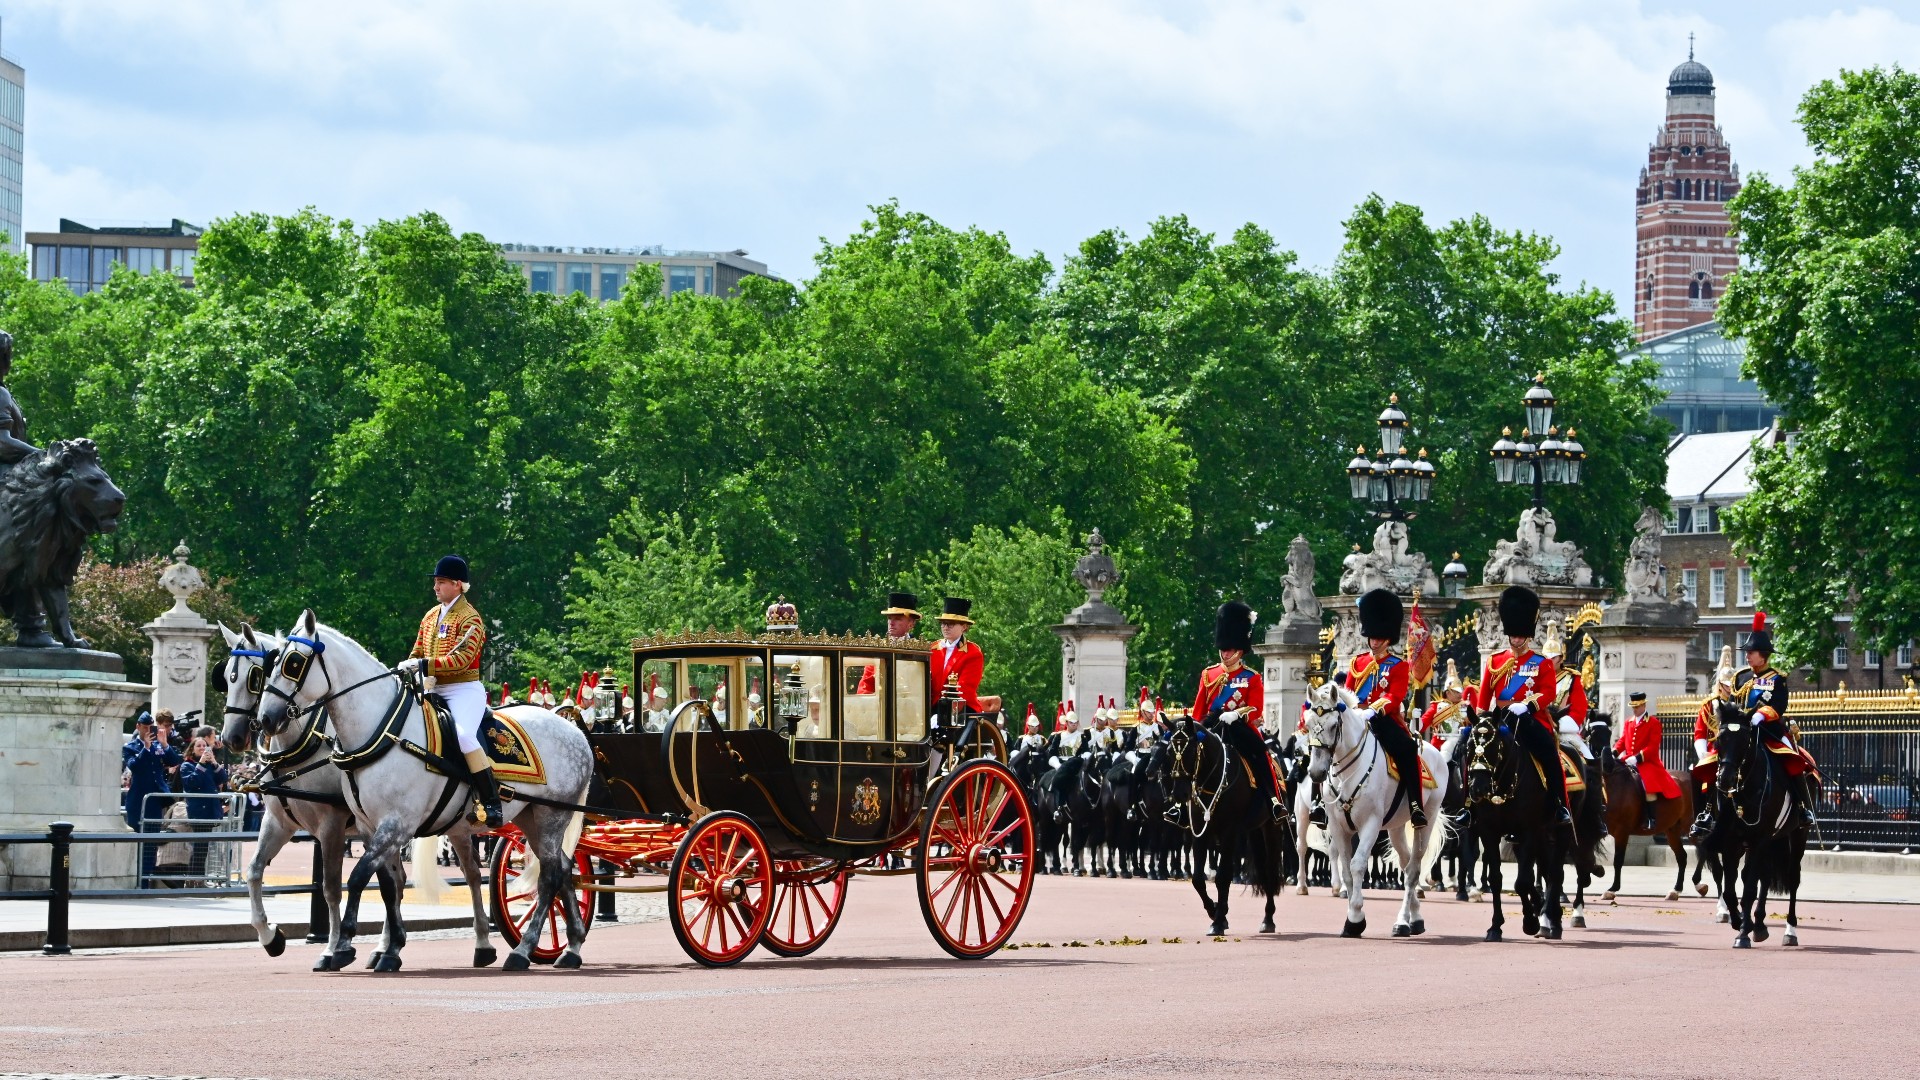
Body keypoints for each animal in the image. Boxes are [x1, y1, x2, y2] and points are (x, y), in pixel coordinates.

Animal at [257, 611, 591, 972]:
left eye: (292, 662)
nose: (265, 719)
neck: (382, 732)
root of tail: (574, 731)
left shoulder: (394, 825)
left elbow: (358, 878)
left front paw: (344, 946)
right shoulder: (371, 828)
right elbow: (388, 886)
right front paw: (389, 950)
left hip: (551, 815)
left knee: (549, 878)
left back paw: (523, 950)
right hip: (531, 817)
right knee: (562, 870)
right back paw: (571, 947)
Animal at [1152, 714, 1274, 933]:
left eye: (1191, 751)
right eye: (1169, 752)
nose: (1179, 794)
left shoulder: (1229, 831)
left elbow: (1223, 876)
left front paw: (1218, 920)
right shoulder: (1199, 830)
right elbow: (1197, 879)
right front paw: (1215, 911)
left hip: (1269, 826)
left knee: (1269, 868)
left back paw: (1268, 918)